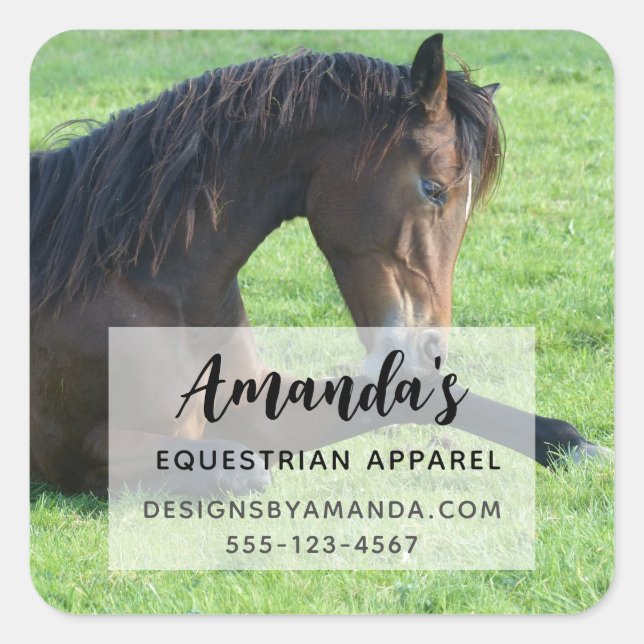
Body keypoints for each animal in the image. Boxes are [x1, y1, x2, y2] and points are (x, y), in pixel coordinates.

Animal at [30, 34, 608, 496]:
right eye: (434, 189)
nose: (431, 347)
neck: (147, 285)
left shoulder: (260, 415)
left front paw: (571, 444)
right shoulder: (80, 456)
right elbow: (246, 469)